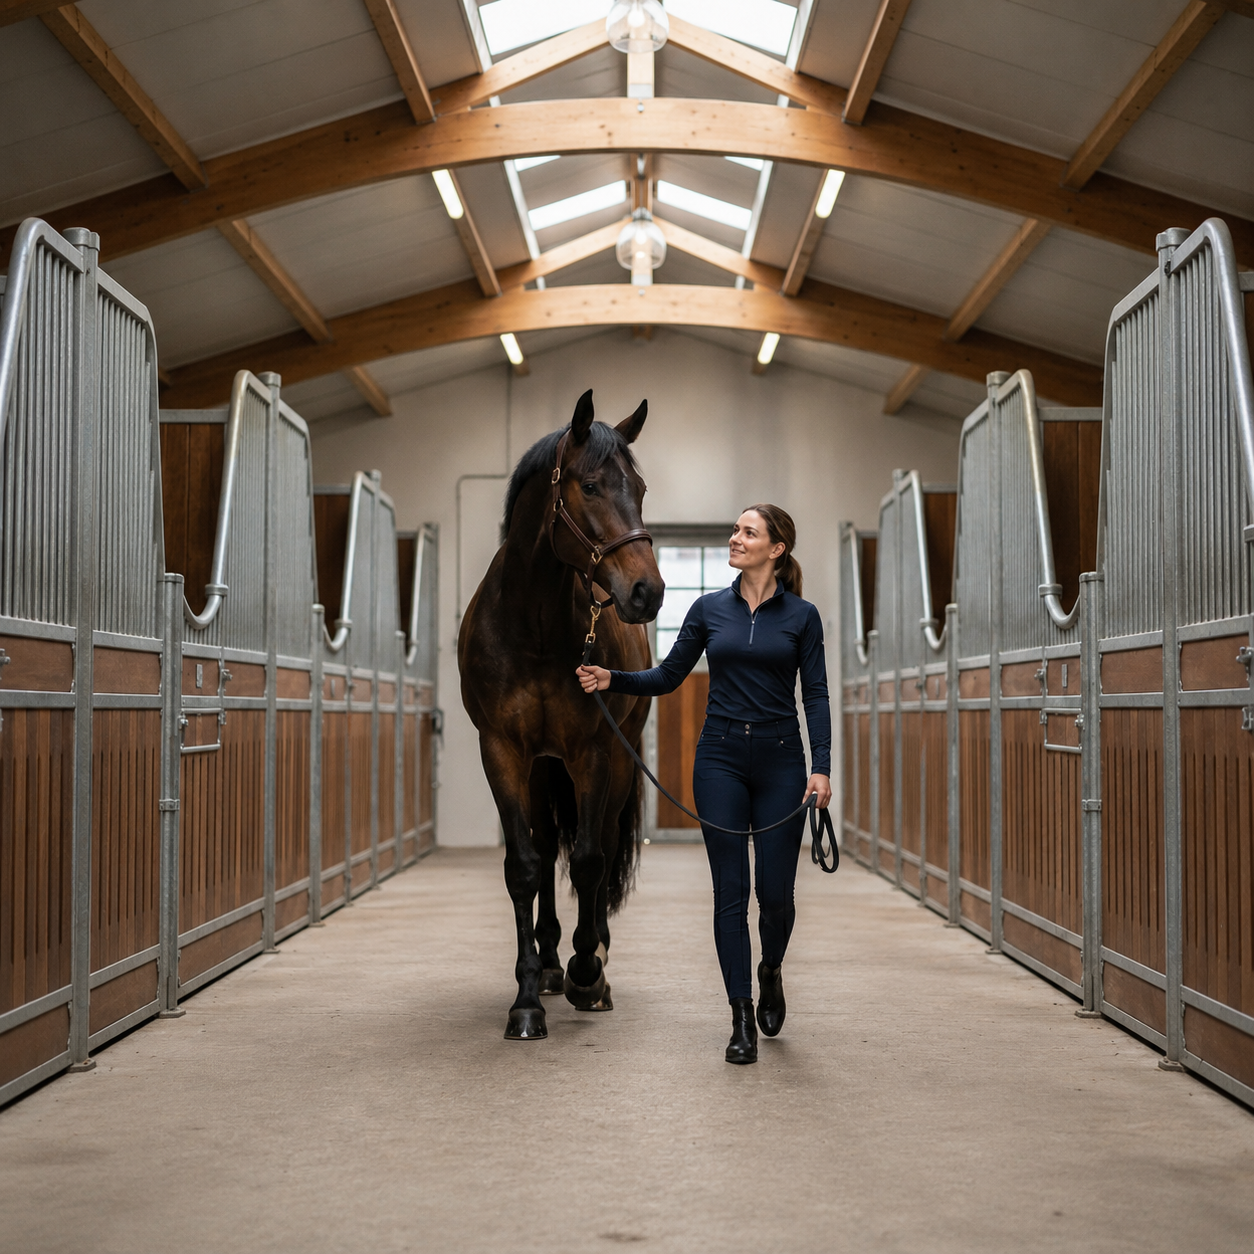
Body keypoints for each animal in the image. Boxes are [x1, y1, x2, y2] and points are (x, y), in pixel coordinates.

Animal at [458, 389, 665, 1040]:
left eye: (640, 488)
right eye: (591, 486)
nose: (649, 592)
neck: (537, 627)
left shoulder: (591, 752)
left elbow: (592, 859)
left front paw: (587, 973)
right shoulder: (501, 750)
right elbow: (525, 866)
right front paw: (526, 998)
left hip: (613, 761)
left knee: (599, 847)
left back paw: (588, 959)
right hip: (541, 767)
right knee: (548, 848)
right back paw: (550, 963)